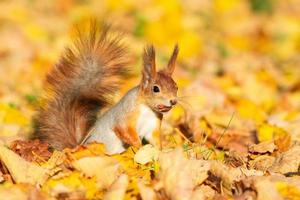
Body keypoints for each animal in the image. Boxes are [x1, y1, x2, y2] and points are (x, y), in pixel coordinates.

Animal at [35, 23, 180, 155]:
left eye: (176, 86)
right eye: (155, 89)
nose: (173, 101)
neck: (147, 108)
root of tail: (75, 149)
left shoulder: (152, 125)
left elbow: (154, 140)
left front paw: (160, 152)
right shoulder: (124, 115)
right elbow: (124, 130)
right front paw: (139, 146)